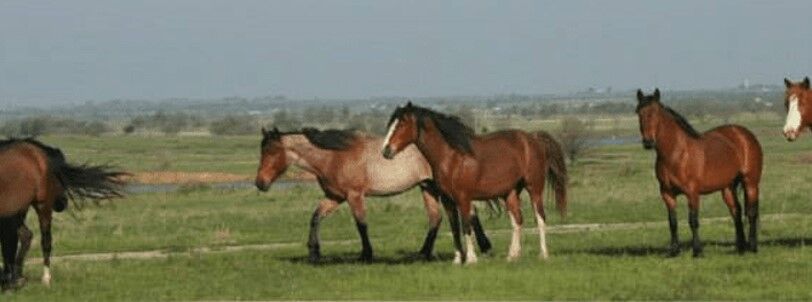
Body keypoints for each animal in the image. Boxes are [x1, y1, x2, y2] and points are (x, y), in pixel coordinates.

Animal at [0, 137, 127, 290]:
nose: (62, 202)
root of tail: (40, 151)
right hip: (19, 211)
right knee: (24, 237)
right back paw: (16, 278)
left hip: (42, 205)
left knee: (44, 241)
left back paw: (44, 279)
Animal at [255, 126, 494, 264]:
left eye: (271, 151)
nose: (260, 183)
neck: (334, 156)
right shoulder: (335, 197)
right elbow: (315, 217)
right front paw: (314, 252)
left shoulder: (354, 196)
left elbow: (361, 224)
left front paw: (366, 255)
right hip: (428, 187)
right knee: (436, 218)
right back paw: (423, 253)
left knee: (468, 211)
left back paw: (484, 246)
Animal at [382, 102, 568, 264]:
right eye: (391, 123)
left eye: (402, 123)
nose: (386, 151)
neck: (452, 157)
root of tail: (533, 138)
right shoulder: (448, 201)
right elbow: (455, 228)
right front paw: (458, 260)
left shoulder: (464, 199)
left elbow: (466, 226)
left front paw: (471, 259)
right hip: (510, 192)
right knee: (517, 220)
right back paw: (512, 256)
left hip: (534, 188)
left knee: (540, 218)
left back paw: (543, 254)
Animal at [636, 89, 764, 258]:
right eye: (639, 113)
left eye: (655, 112)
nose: (648, 142)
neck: (676, 154)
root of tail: (744, 134)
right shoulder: (667, 194)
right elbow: (672, 222)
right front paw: (674, 251)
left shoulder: (692, 193)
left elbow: (693, 221)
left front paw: (697, 251)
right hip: (727, 188)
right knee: (736, 212)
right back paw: (741, 248)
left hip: (751, 183)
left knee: (751, 212)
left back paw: (753, 247)